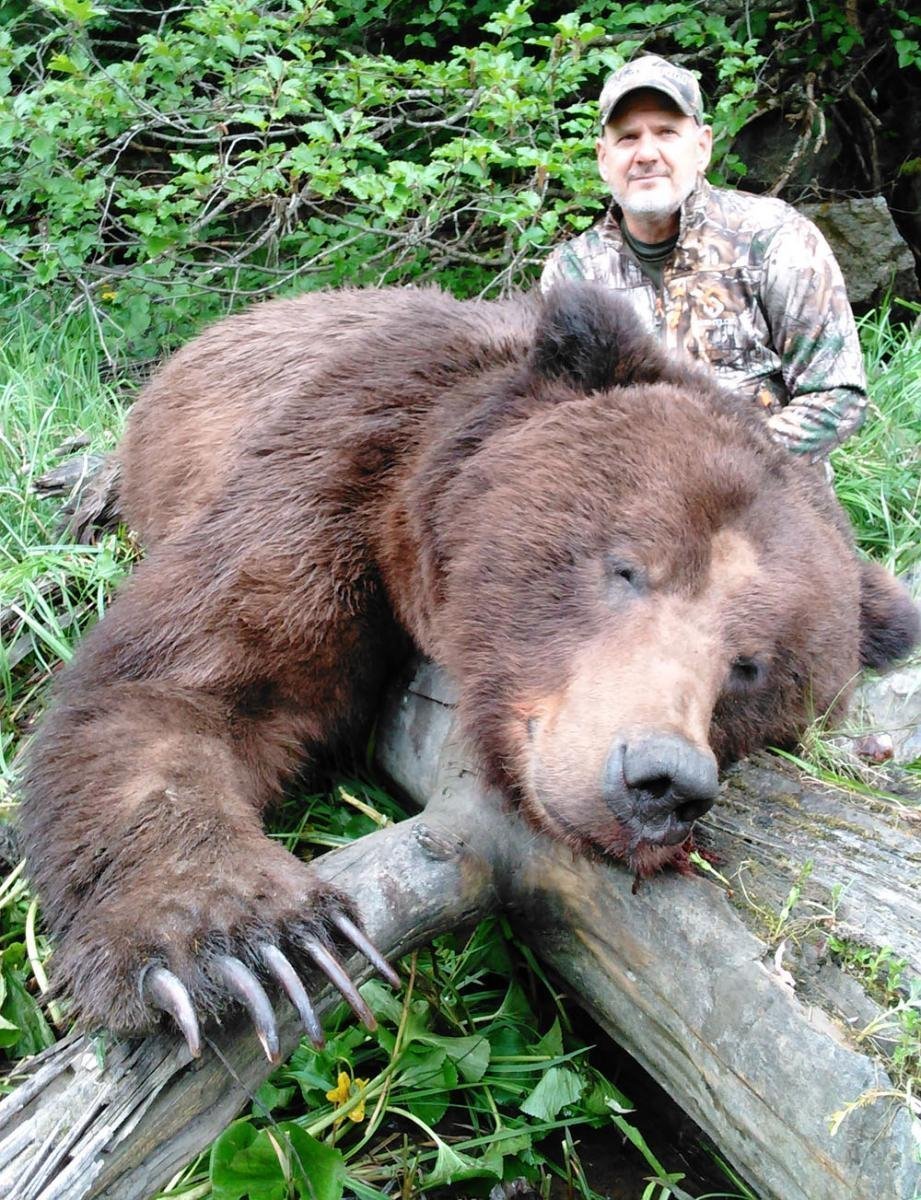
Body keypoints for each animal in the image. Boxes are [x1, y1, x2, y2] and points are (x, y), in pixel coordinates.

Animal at [20, 283, 919, 1061]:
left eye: (751, 668)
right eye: (627, 568)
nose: (660, 779)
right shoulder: (343, 456)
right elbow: (180, 682)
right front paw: (239, 941)